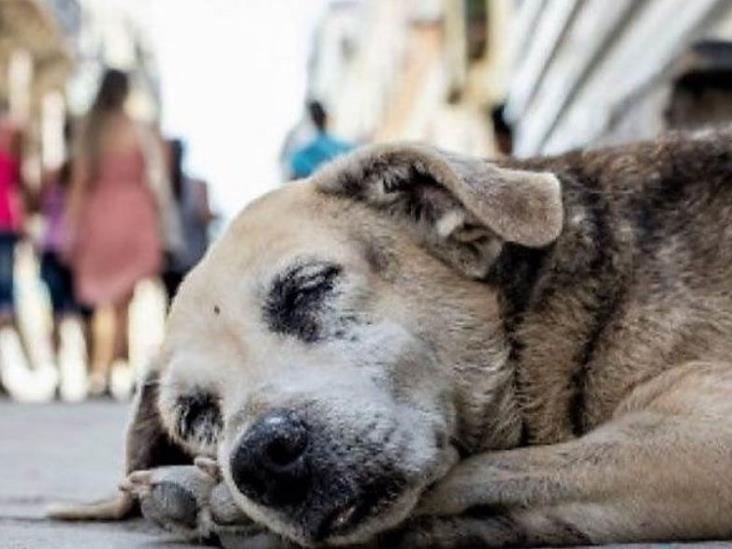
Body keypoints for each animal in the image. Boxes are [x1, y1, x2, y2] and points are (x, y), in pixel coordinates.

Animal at [53, 127, 732, 544]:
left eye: (307, 287)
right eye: (195, 414)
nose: (259, 461)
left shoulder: (701, 429)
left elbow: (488, 473)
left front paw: (207, 495)